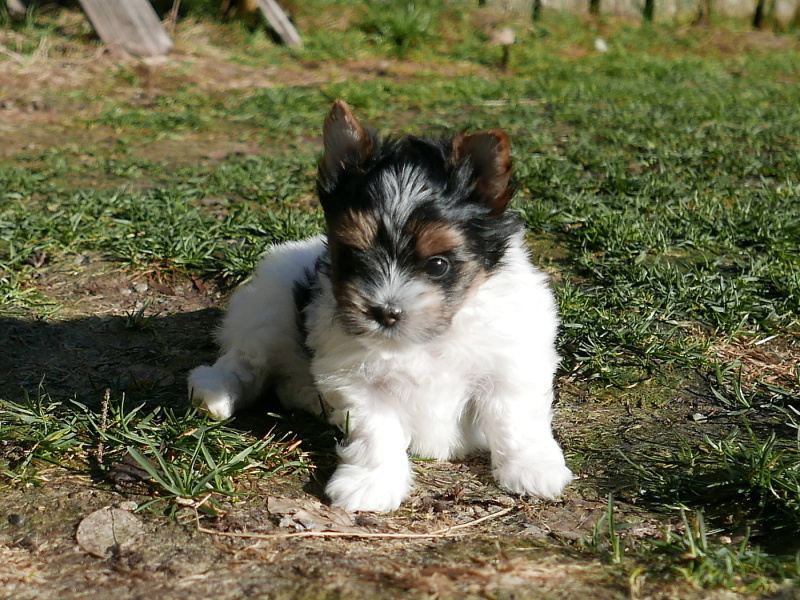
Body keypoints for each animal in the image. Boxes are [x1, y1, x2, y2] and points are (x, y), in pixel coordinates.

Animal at [188, 100, 573, 512]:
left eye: (438, 265)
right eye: (354, 257)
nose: (385, 312)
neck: (429, 339)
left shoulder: (512, 359)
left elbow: (515, 417)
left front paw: (532, 468)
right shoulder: (357, 380)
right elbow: (376, 432)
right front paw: (371, 483)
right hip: (266, 310)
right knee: (245, 363)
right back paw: (213, 392)